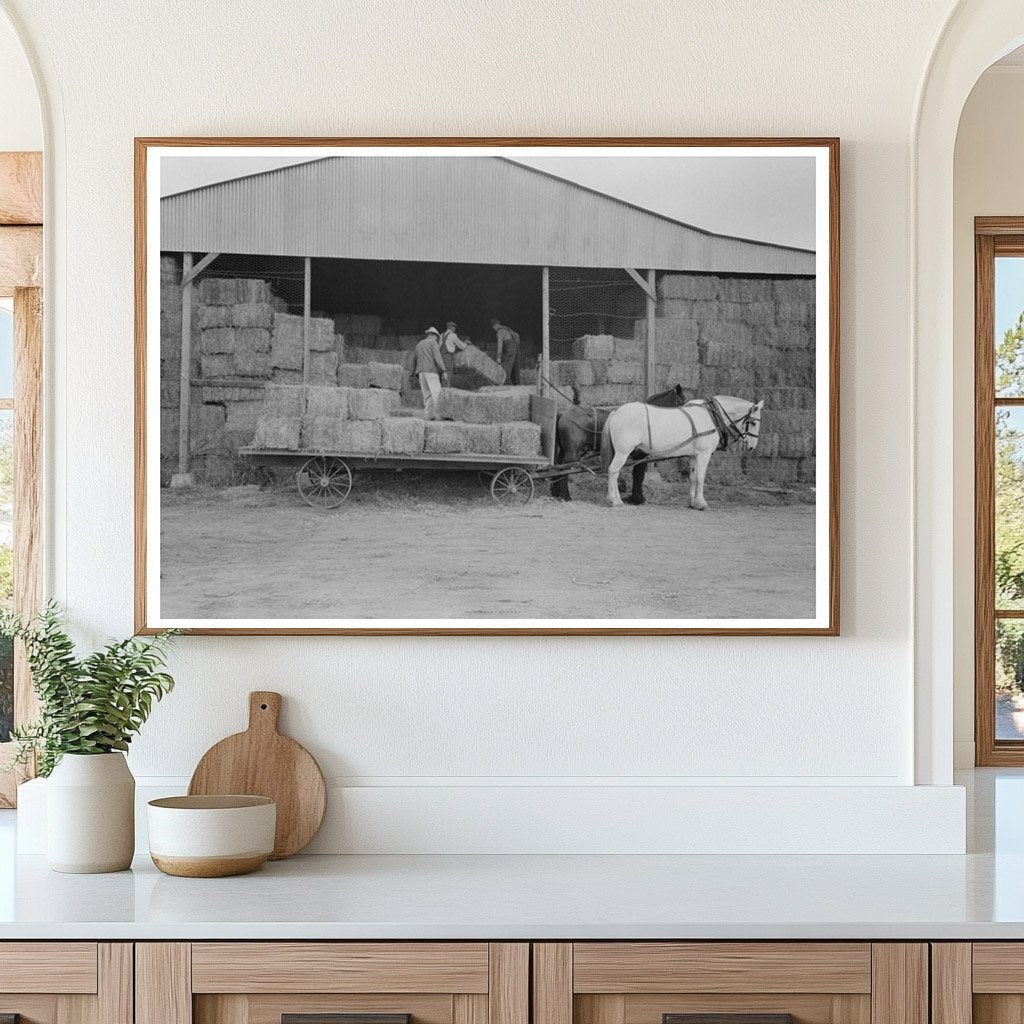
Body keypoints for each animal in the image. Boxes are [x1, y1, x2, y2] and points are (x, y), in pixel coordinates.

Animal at [552, 385, 696, 499]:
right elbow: (638, 475)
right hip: (572, 453)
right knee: (564, 469)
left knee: (557, 466)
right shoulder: (640, 455)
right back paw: (565, 495)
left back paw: (556, 492)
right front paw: (637, 498)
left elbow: (637, 475)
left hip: (565, 450)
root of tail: (564, 414)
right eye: (686, 402)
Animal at [602, 399, 765, 512]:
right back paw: (613, 500)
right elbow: (700, 478)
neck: (711, 417)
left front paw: (692, 503)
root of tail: (616, 412)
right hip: (623, 452)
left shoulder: (694, 456)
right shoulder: (704, 454)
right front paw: (702, 503)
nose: (752, 446)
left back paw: (617, 499)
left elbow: (693, 478)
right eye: (754, 423)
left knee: (615, 472)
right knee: (613, 470)